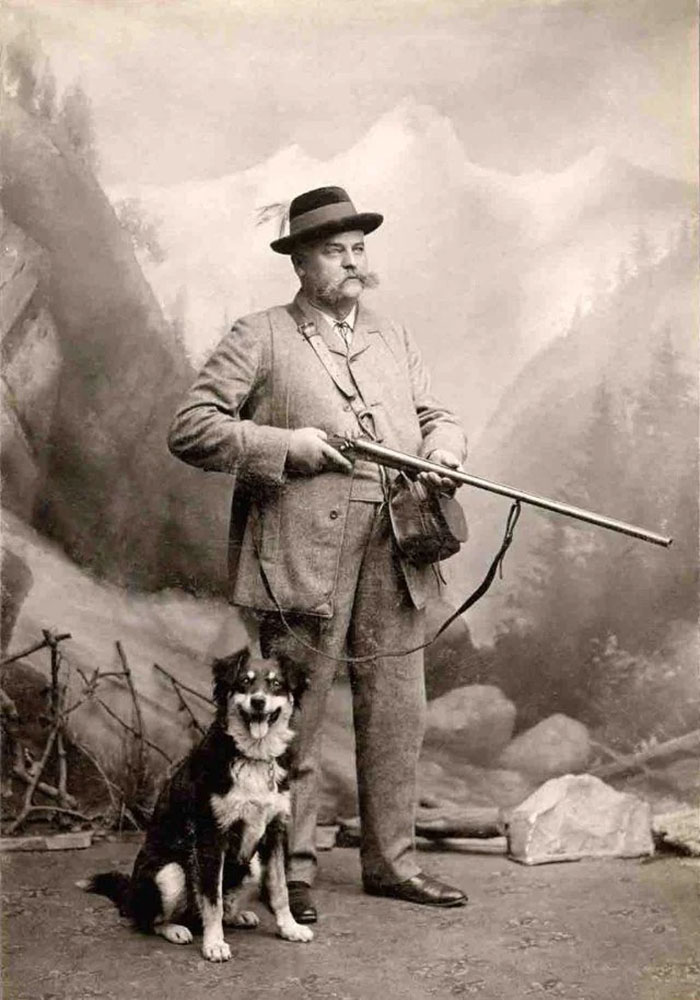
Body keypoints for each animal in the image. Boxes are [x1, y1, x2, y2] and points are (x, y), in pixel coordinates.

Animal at [78, 648, 314, 960]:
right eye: (244, 681)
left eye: (276, 684)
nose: (258, 701)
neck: (252, 757)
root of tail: (129, 895)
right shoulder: (211, 836)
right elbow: (211, 898)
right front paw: (214, 943)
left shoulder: (274, 832)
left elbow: (279, 888)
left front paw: (290, 928)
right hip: (170, 874)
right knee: (151, 920)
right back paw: (176, 929)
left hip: (251, 864)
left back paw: (236, 916)